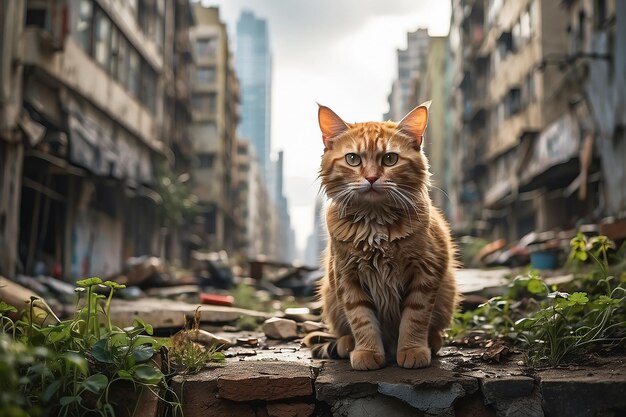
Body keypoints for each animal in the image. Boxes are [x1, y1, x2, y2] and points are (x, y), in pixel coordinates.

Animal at [304, 102, 456, 368]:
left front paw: (411, 350)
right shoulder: (347, 278)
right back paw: (347, 345)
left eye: (390, 159)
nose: (372, 177)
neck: (375, 223)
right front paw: (368, 352)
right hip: (330, 295)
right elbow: (361, 320)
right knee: (343, 333)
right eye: (353, 159)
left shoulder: (425, 273)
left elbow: (415, 318)